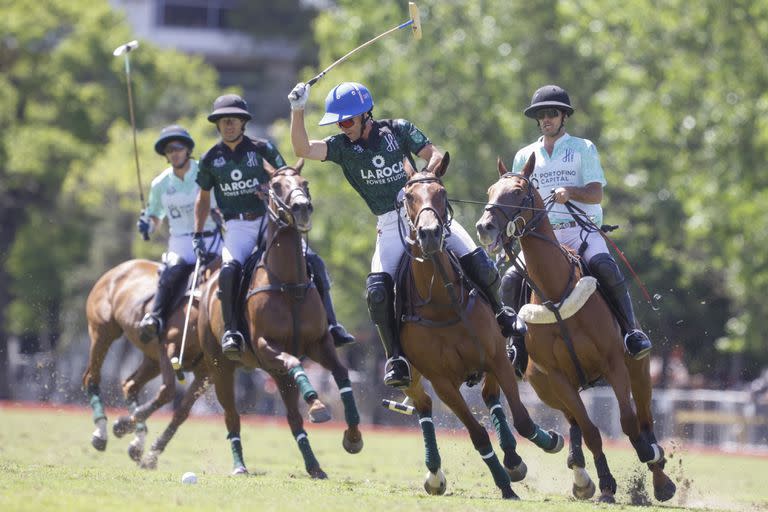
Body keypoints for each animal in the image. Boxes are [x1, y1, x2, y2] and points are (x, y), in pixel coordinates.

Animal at [82, 256, 216, 468]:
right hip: (102, 332)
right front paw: (121, 425)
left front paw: (151, 454)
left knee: (130, 385)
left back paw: (137, 442)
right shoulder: (167, 348)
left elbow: (182, 411)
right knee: (91, 377)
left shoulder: (206, 374)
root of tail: (117, 269)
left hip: (152, 359)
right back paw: (101, 433)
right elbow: (167, 392)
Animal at [200, 160, 364, 480]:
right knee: (232, 416)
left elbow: (340, 373)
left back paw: (315, 466)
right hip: (221, 366)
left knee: (292, 418)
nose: (302, 208)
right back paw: (240, 466)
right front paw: (317, 404)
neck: (289, 284)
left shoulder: (319, 343)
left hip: (274, 373)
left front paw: (352, 436)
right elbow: (293, 361)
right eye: (275, 186)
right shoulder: (266, 346)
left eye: (305, 182)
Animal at [396, 153, 564, 500]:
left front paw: (549, 442)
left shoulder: (497, 357)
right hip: (411, 376)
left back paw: (513, 458)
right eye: (408, 197)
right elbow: (477, 435)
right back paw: (435, 474)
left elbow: (523, 420)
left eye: (442, 193)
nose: (430, 234)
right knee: (423, 405)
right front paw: (504, 484)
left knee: (490, 398)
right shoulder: (443, 382)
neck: (444, 302)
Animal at [474, 154, 680, 502]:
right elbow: (591, 431)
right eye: (489, 190)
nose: (484, 227)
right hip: (544, 386)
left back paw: (658, 472)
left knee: (645, 419)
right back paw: (581, 476)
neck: (556, 294)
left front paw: (648, 459)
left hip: (639, 370)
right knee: (574, 423)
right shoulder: (557, 377)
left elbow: (628, 422)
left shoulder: (613, 363)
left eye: (517, 191)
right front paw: (606, 484)